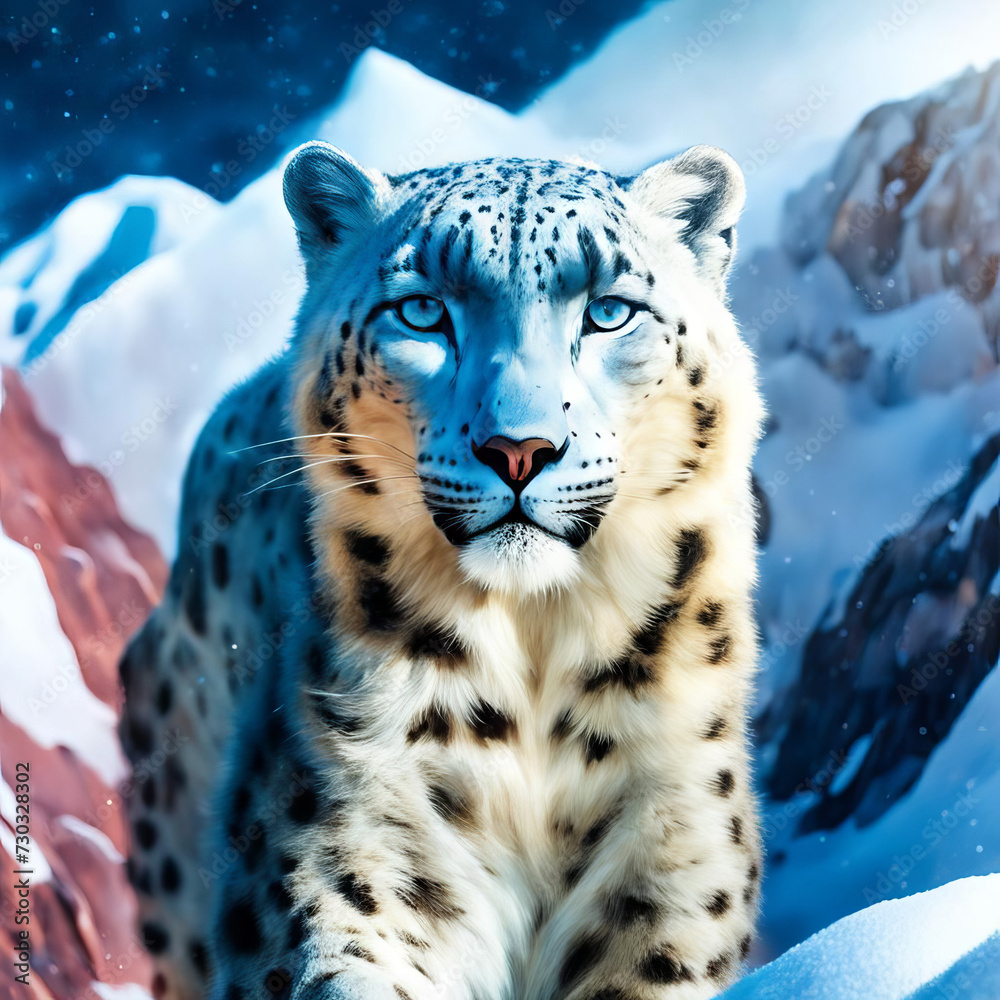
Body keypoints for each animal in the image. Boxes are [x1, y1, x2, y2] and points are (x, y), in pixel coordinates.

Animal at [118, 141, 765, 1000]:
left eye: (609, 310)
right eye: (423, 311)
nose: (520, 448)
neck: (534, 650)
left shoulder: (673, 837)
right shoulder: (345, 823)